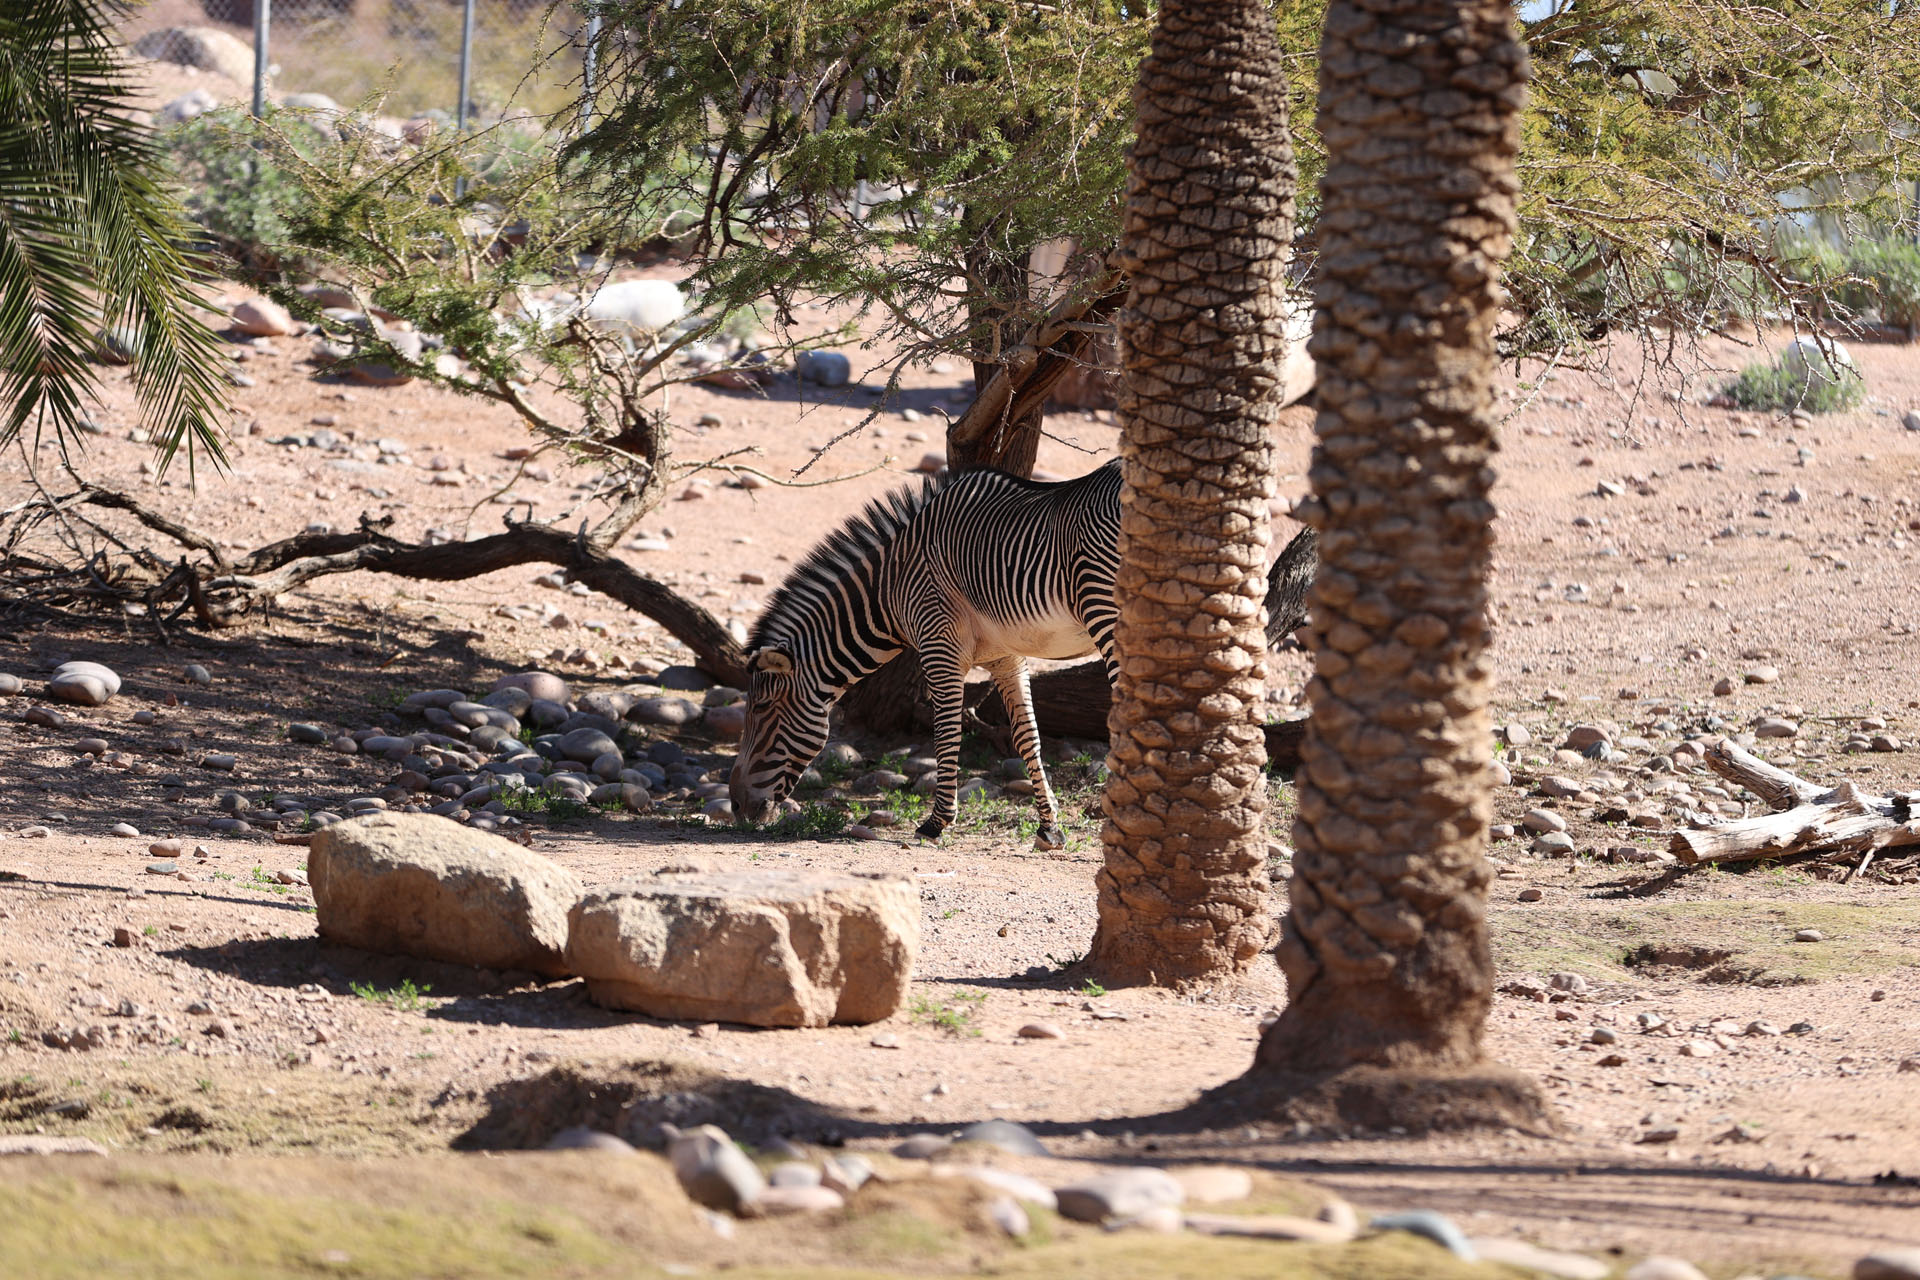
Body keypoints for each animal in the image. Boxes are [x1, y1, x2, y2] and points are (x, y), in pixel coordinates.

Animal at [721, 460, 1320, 852]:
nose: (738, 808)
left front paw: (937, 823)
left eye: (762, 713)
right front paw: (1049, 827)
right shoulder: (1006, 656)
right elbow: (1027, 733)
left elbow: (946, 731)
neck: (890, 585)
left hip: (1110, 610)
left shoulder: (939, 644)